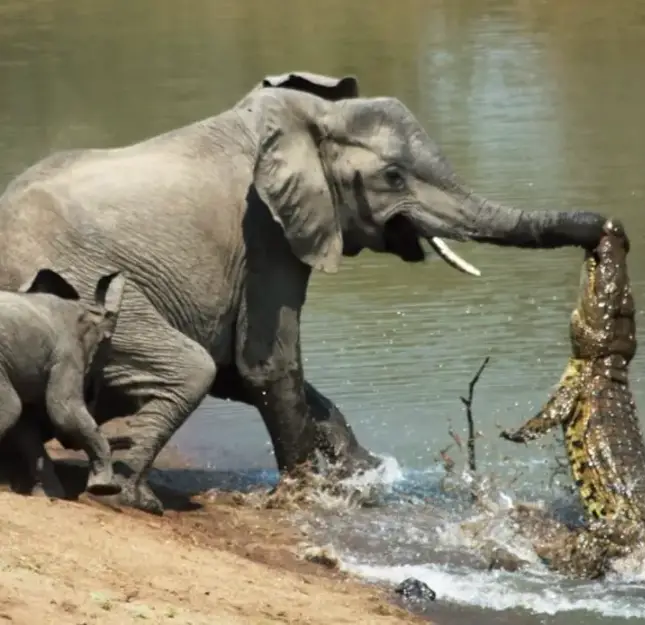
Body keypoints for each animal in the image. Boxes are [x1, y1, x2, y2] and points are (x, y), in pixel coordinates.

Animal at [0, 268, 127, 497]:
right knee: (10, 407)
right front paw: (105, 489)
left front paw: (49, 496)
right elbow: (64, 411)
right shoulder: (68, 352)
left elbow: (26, 425)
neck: (87, 310)